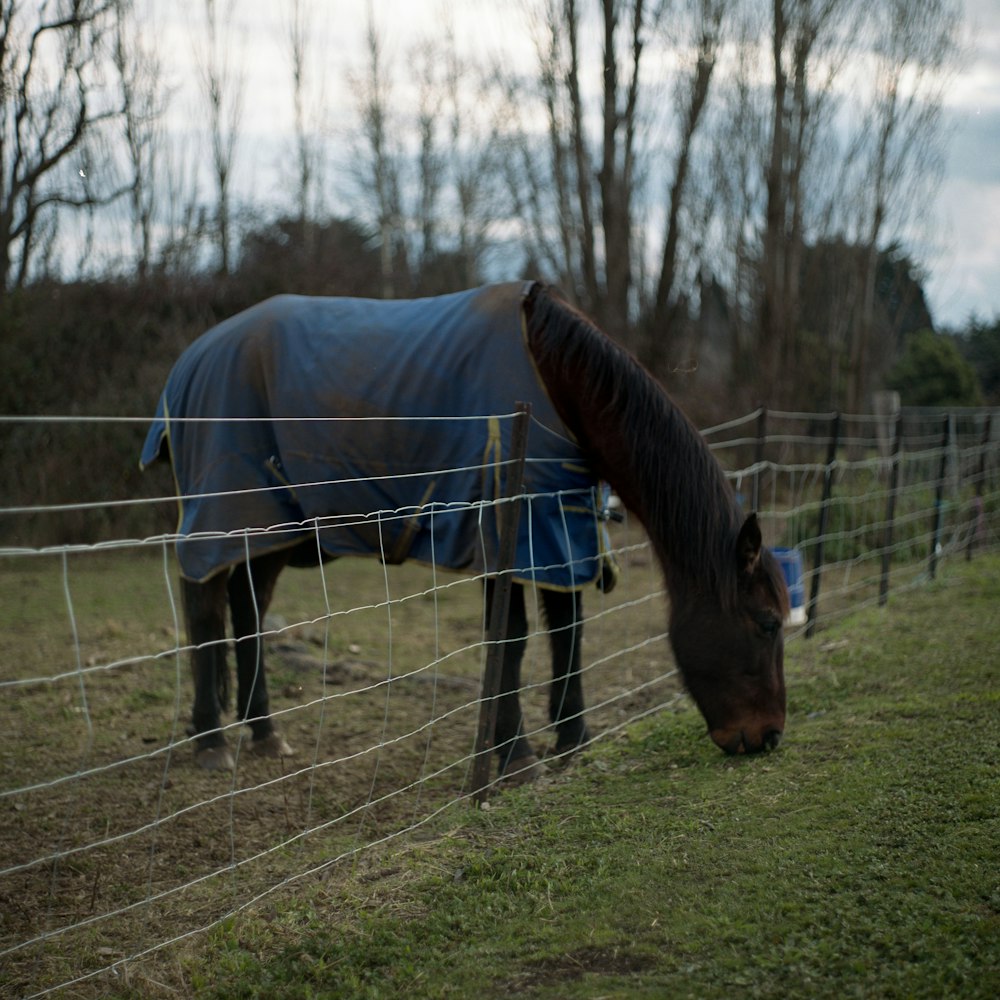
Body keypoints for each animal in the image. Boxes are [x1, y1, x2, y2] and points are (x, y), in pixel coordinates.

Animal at [141, 280, 788, 772]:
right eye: (767, 623)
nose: (768, 736)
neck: (555, 381)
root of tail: (191, 360)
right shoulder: (508, 531)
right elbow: (513, 638)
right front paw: (515, 755)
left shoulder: (559, 528)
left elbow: (568, 631)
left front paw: (571, 742)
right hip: (227, 518)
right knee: (204, 612)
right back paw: (212, 742)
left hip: (272, 532)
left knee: (247, 614)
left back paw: (264, 733)